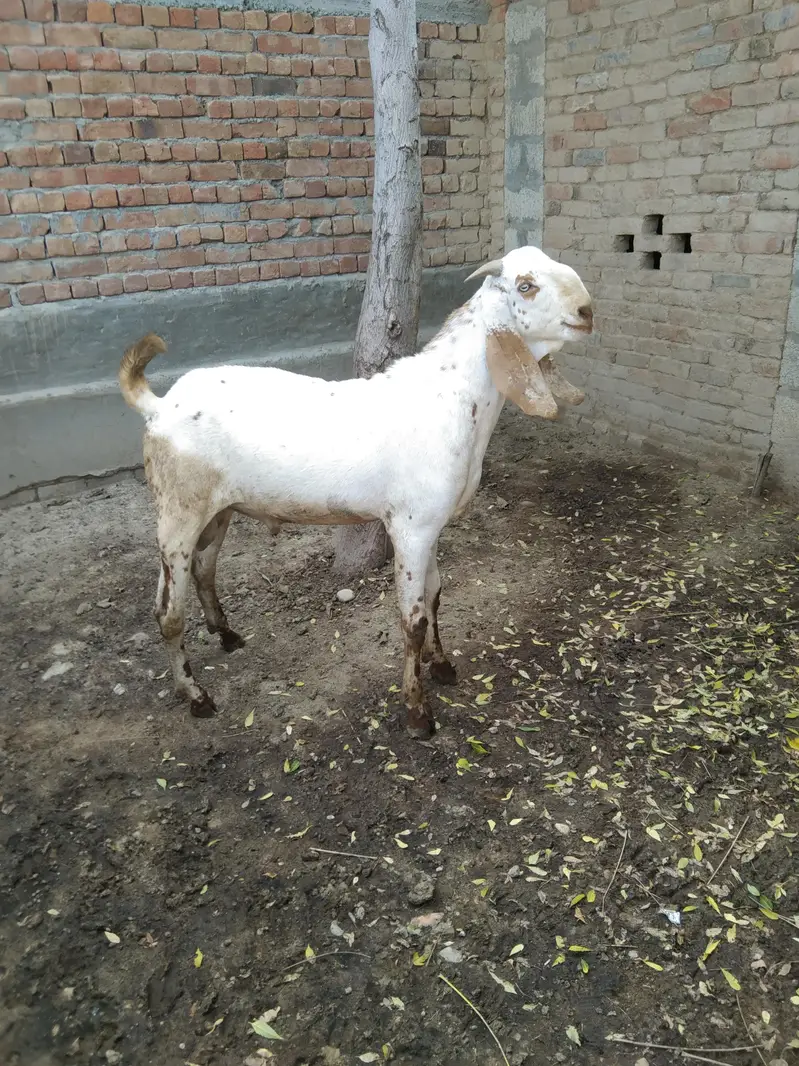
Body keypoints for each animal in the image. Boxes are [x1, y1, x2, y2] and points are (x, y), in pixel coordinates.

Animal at [119, 245, 592, 738]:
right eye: (525, 285)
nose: (587, 312)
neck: (451, 397)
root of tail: (158, 405)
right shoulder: (410, 527)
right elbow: (413, 618)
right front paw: (417, 712)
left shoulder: (430, 524)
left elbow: (436, 594)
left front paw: (442, 666)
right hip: (177, 510)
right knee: (168, 613)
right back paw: (196, 696)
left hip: (217, 509)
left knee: (203, 570)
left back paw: (227, 636)